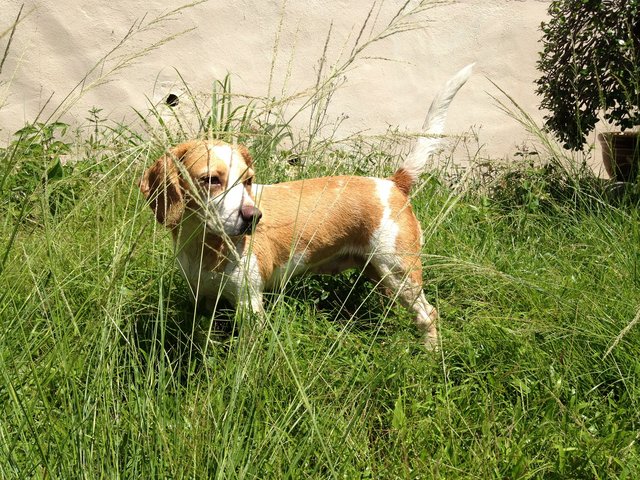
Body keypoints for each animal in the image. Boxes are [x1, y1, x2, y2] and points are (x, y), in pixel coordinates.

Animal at [139, 63, 470, 348]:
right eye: (210, 179)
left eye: (248, 180)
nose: (254, 217)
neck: (205, 245)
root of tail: (393, 183)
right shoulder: (202, 300)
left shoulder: (249, 303)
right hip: (380, 273)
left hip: (400, 273)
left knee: (428, 314)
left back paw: (430, 353)